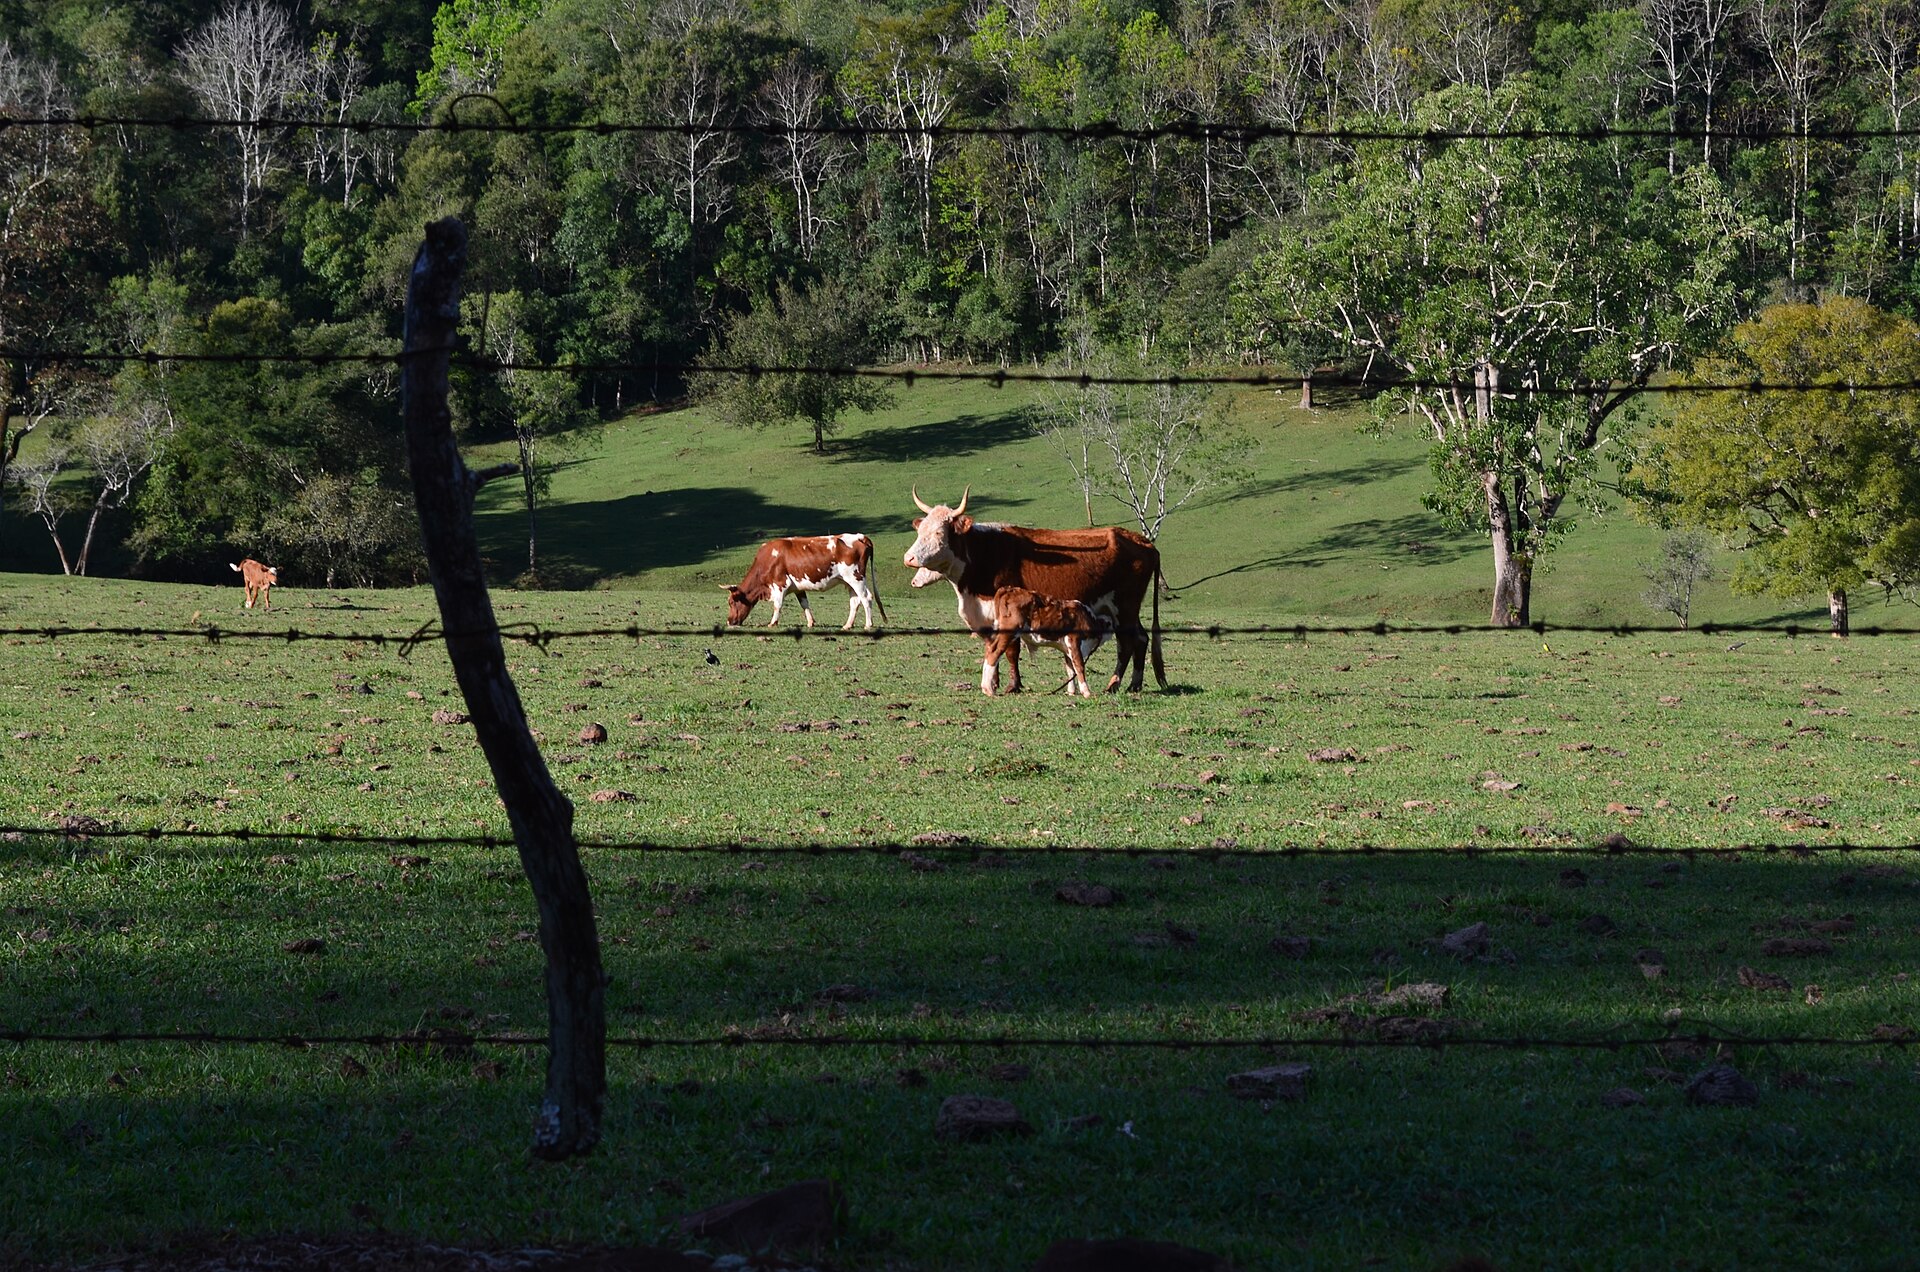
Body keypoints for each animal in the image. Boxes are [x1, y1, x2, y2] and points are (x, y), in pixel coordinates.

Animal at [722, 533, 887, 630]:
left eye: (731, 602)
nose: (729, 621)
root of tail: (860, 536)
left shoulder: (780, 583)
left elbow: (777, 605)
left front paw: (772, 623)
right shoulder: (797, 587)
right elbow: (804, 604)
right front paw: (810, 622)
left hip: (855, 577)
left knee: (866, 597)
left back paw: (868, 625)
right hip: (848, 581)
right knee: (855, 601)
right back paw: (847, 625)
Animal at [904, 487, 1166, 693]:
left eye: (939, 532)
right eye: (920, 531)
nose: (909, 558)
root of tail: (1144, 542)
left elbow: (1011, 651)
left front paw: (1013, 686)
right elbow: (992, 647)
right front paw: (995, 682)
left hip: (1125, 606)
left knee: (1128, 642)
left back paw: (1116, 684)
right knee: (1140, 639)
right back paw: (1133, 684)